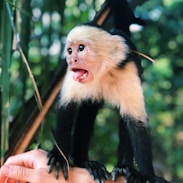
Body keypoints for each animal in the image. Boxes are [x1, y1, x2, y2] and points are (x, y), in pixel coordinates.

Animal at [47, 24, 170, 183]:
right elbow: (66, 107)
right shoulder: (72, 75)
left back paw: (124, 168)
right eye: (69, 50)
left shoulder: (128, 68)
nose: (71, 59)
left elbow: (136, 123)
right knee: (88, 112)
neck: (102, 72)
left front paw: (149, 176)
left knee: (125, 118)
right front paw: (59, 156)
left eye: (81, 48)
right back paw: (85, 162)